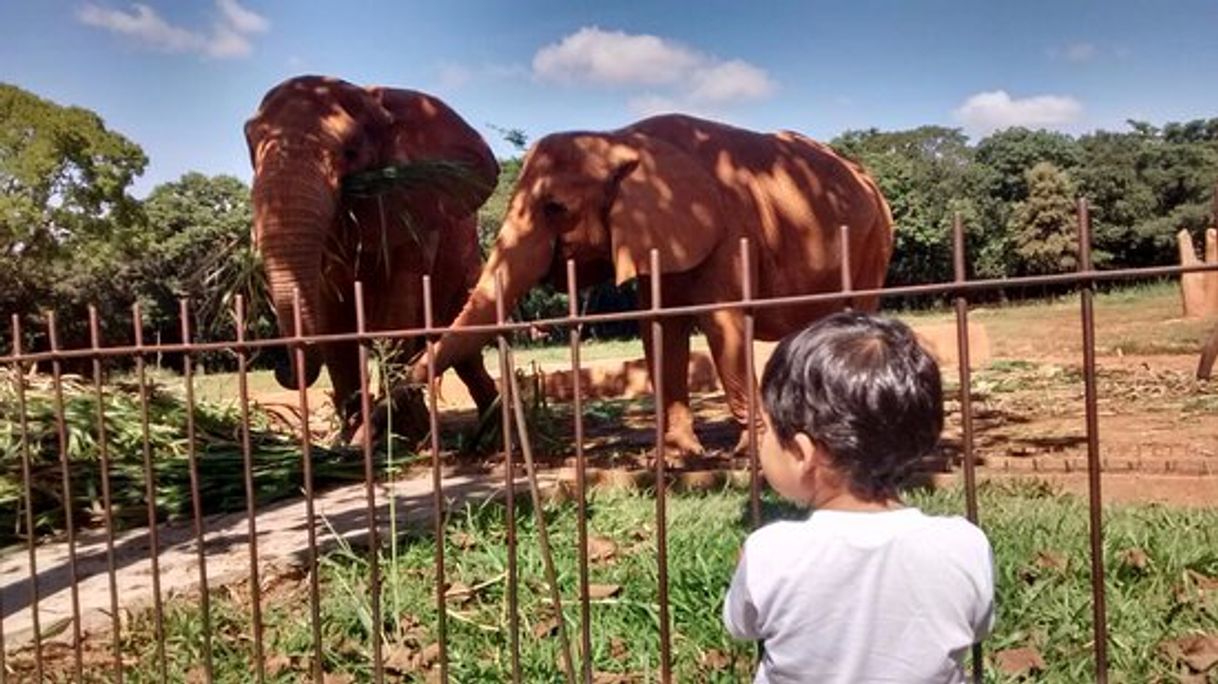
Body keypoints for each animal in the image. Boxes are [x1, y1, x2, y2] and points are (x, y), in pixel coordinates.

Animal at [246, 73, 499, 435]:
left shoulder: (413, 211)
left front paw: (395, 429)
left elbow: (398, 311)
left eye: (351, 151)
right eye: (250, 145)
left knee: (464, 348)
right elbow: (333, 321)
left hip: (469, 270)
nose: (280, 367)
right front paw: (355, 429)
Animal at [414, 113, 901, 452]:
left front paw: (748, 454)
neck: (620, 139)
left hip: (875, 239)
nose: (402, 377)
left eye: (555, 208)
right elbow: (661, 329)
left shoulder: (728, 228)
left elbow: (722, 324)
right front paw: (678, 457)